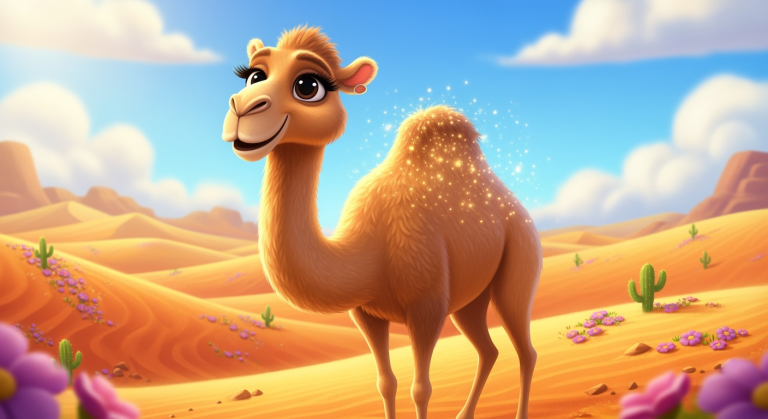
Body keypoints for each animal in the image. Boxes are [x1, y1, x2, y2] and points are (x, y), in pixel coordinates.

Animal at [221, 26, 542, 419]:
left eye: (308, 85)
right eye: (253, 75)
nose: (241, 108)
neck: (367, 248)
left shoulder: (427, 307)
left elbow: (421, 389)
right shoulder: (366, 314)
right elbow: (386, 383)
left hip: (519, 259)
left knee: (526, 350)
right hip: (470, 298)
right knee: (488, 349)